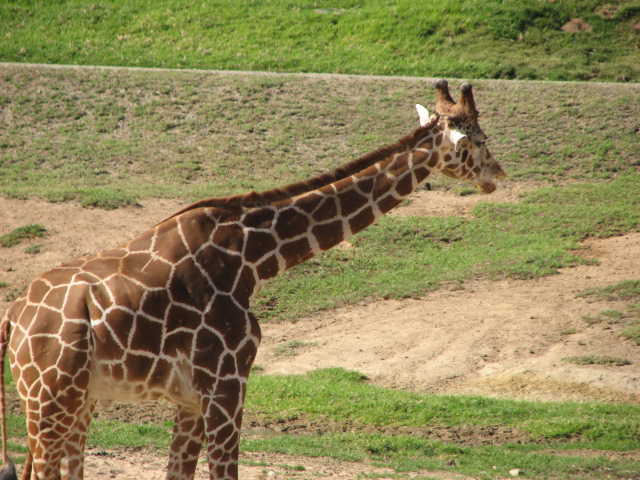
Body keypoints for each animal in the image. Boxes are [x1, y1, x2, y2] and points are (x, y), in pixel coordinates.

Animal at [0, 79, 504, 480]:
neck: (254, 260)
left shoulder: (192, 398)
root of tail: (13, 316)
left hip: (75, 400)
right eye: (479, 140)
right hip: (50, 400)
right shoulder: (226, 383)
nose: (497, 175)